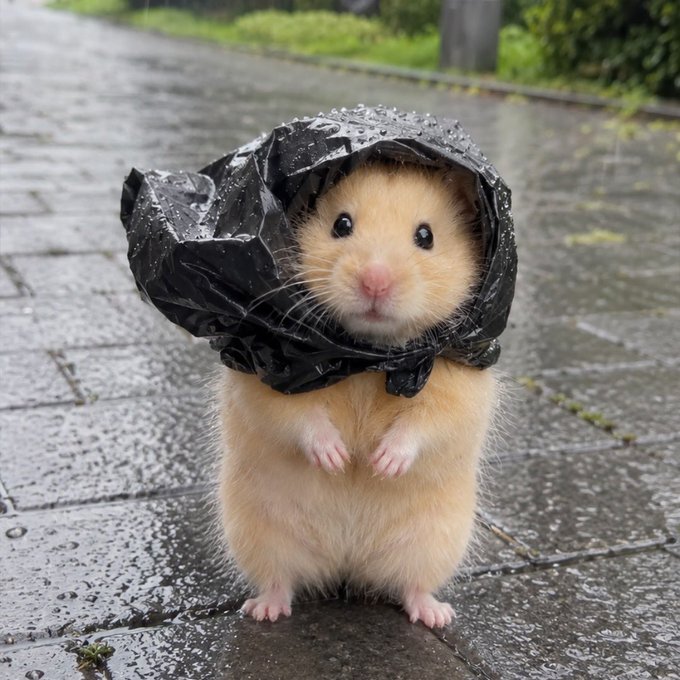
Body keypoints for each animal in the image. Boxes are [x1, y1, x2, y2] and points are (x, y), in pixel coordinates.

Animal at [217, 163, 497, 628]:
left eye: (426, 236)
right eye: (341, 225)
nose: (375, 281)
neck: (368, 358)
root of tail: (346, 565)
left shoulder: (460, 388)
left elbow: (426, 423)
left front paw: (380, 465)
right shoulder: (263, 379)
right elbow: (298, 417)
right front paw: (339, 459)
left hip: (436, 541)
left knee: (413, 584)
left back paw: (436, 615)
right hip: (254, 531)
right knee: (278, 578)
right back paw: (264, 611)